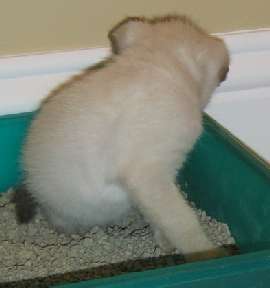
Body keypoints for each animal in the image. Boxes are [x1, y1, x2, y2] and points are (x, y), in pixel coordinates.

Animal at [15, 14, 230, 260]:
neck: (156, 66)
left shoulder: (154, 183)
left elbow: (161, 219)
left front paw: (163, 243)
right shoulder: (149, 175)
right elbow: (182, 222)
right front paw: (207, 253)